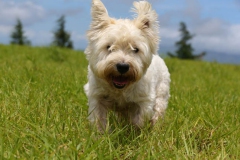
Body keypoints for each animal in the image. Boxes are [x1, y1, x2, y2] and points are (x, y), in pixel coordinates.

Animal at [84, 0, 171, 131]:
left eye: (135, 49)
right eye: (109, 47)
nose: (122, 66)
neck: (120, 90)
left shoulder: (144, 100)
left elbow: (139, 120)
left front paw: (134, 133)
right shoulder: (97, 96)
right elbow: (99, 120)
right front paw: (100, 135)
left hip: (161, 92)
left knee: (158, 111)